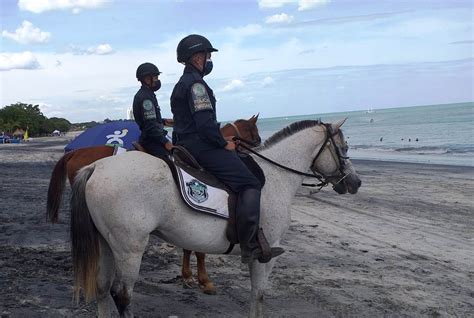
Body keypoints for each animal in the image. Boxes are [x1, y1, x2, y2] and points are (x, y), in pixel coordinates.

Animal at [46, 114, 262, 296]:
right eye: (254, 129)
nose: (259, 142)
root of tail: (75, 154)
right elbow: (198, 250)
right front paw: (204, 280)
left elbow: (188, 247)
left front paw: (188, 276)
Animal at [69, 118, 360, 316]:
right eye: (344, 147)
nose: (355, 182)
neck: (276, 175)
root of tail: (96, 167)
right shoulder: (265, 255)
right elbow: (258, 295)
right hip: (130, 249)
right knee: (122, 295)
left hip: (107, 244)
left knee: (103, 290)